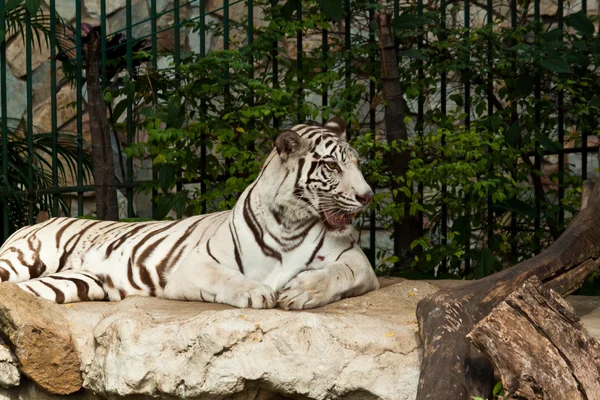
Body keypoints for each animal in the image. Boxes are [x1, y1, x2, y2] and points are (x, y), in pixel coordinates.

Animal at [0, 119, 380, 310]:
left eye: (357, 163)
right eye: (332, 166)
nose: (367, 196)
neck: (292, 223)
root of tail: (42, 218)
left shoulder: (358, 262)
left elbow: (337, 275)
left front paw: (301, 292)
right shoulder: (195, 266)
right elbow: (228, 279)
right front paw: (257, 293)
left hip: (78, 282)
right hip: (22, 259)